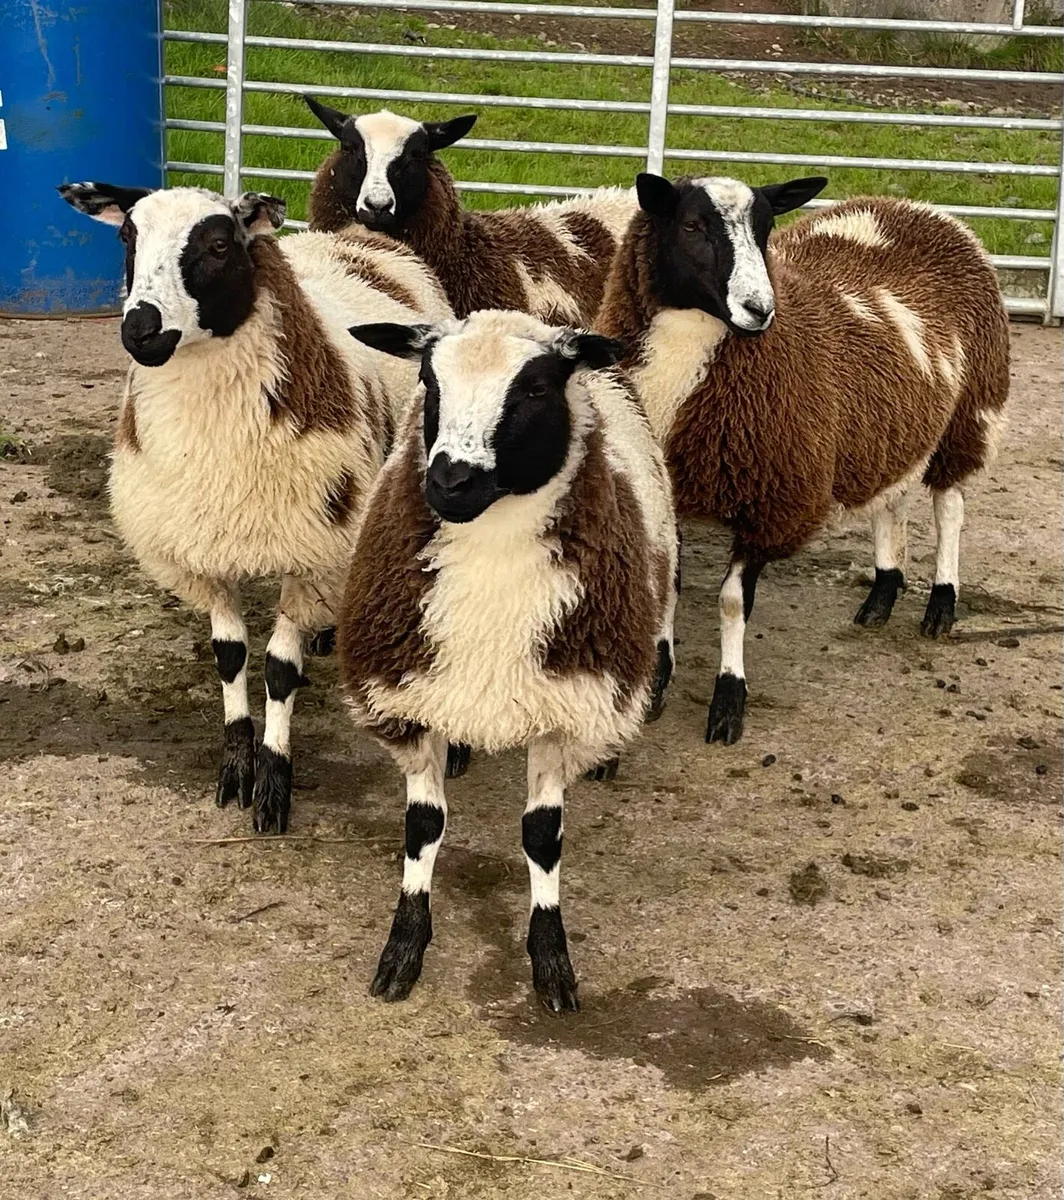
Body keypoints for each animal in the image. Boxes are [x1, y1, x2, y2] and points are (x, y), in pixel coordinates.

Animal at [58, 180, 455, 834]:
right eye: (127, 238)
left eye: (220, 244)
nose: (140, 330)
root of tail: (351, 236)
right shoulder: (202, 549)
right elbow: (230, 657)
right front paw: (236, 768)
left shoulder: (312, 553)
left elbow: (277, 671)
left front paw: (273, 786)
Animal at [338, 309, 678, 1011]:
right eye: (428, 381)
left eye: (536, 388)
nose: (450, 481)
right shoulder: (414, 697)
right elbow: (422, 827)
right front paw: (403, 949)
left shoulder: (566, 705)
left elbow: (542, 837)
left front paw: (551, 961)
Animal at [596, 173, 1010, 746]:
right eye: (692, 225)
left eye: (767, 227)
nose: (760, 310)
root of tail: (918, 208)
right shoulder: (665, 490)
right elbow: (669, 588)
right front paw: (657, 683)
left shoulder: (774, 498)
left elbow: (731, 602)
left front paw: (729, 701)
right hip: (894, 423)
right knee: (892, 499)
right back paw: (882, 594)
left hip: (970, 410)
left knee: (949, 506)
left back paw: (941, 604)